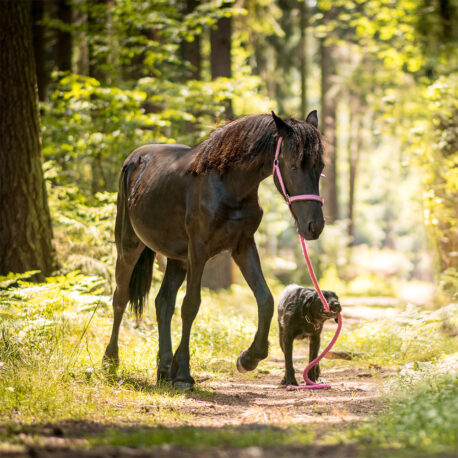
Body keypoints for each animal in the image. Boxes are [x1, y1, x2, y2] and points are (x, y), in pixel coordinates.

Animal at [104, 109, 326, 388]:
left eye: (320, 167)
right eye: (294, 165)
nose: (314, 226)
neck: (228, 185)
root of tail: (135, 159)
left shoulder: (243, 246)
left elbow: (265, 299)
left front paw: (249, 358)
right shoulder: (198, 251)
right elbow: (191, 305)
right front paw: (184, 373)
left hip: (177, 259)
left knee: (163, 302)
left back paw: (164, 369)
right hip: (129, 246)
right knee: (120, 297)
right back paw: (111, 362)